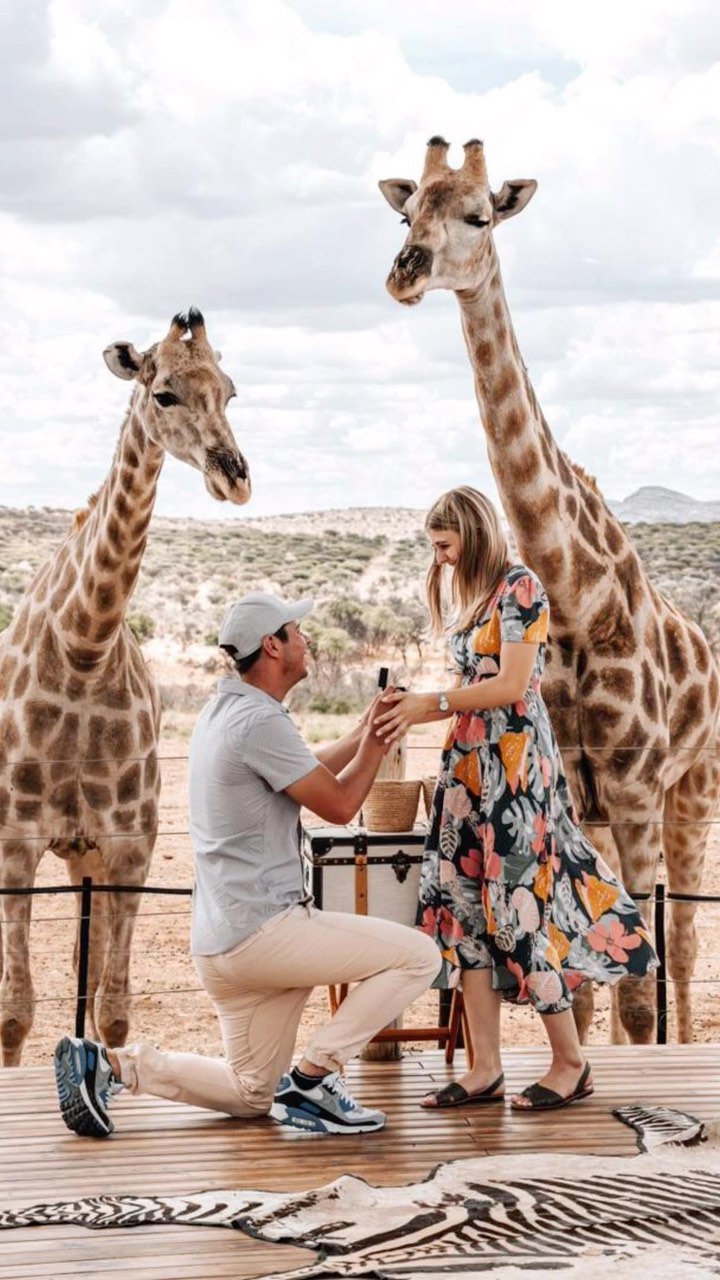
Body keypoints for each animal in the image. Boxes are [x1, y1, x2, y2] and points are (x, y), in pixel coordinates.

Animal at [0, 308, 251, 1065]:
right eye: (164, 393)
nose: (235, 477)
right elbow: (14, 1014)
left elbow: (112, 1011)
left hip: (85, 859)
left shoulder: (130, 847)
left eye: (230, 391)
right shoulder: (15, 844)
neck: (84, 648)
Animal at [379, 138, 720, 1043]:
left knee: (684, 940)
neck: (574, 598)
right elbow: (589, 981)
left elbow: (638, 991)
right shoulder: (574, 789)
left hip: (694, 787)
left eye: (480, 215)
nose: (403, 271)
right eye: (405, 212)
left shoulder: (636, 790)